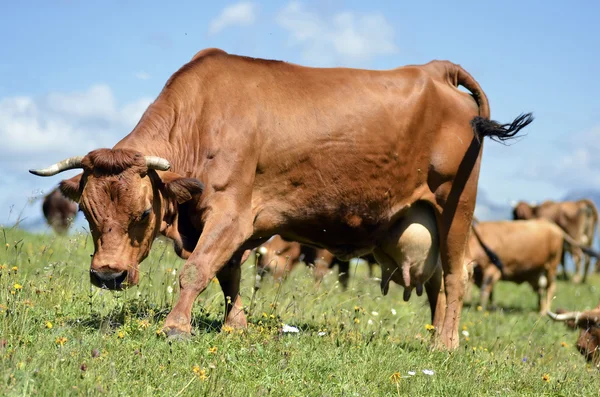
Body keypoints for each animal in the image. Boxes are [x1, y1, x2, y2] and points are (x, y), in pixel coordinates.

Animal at [466, 218, 596, 314]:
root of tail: (553, 226)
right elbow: (490, 292)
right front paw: (491, 306)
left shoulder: (492, 270)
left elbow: (485, 290)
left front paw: (482, 308)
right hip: (538, 271)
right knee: (540, 289)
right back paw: (540, 308)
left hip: (551, 266)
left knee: (550, 287)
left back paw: (544, 311)